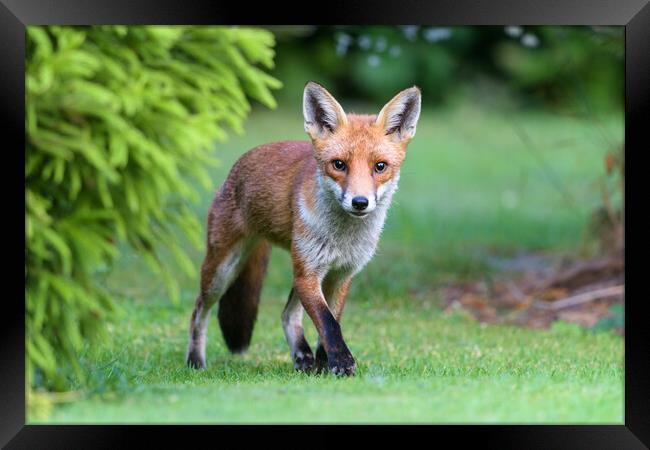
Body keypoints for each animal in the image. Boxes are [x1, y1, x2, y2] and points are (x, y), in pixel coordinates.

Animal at [185, 81, 422, 376]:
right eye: (339, 164)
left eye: (380, 166)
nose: (360, 202)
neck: (342, 238)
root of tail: (239, 165)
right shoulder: (309, 274)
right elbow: (328, 323)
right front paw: (341, 363)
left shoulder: (340, 275)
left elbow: (330, 322)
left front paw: (325, 363)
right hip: (223, 270)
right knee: (198, 310)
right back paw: (195, 360)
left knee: (287, 313)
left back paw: (303, 357)